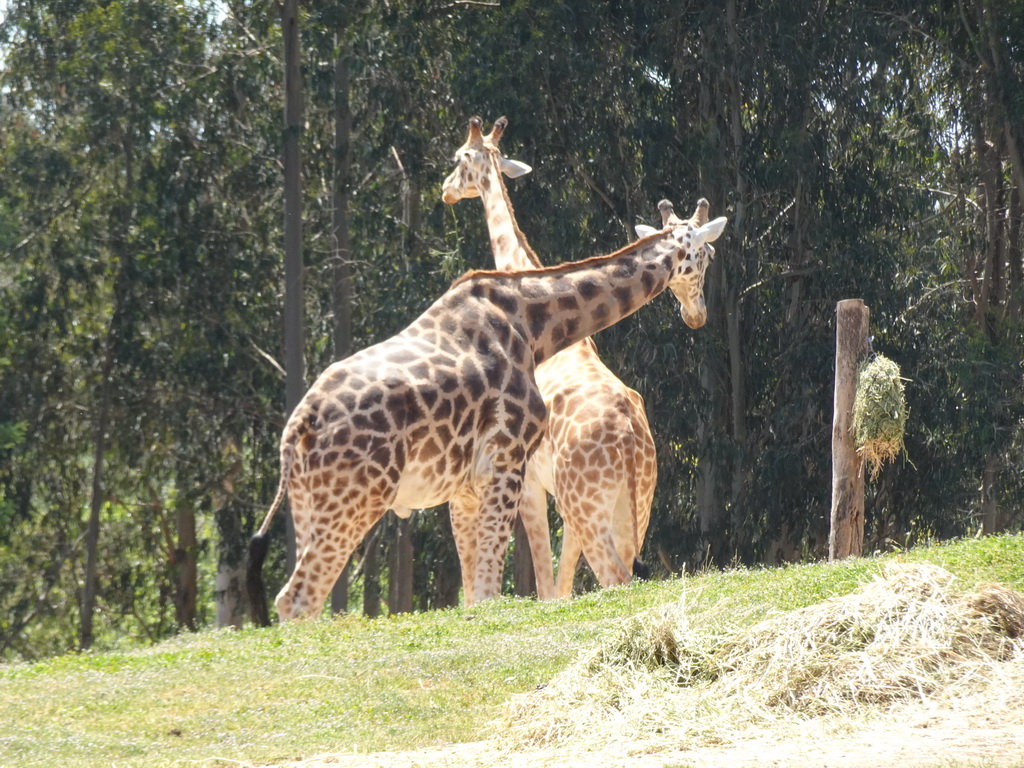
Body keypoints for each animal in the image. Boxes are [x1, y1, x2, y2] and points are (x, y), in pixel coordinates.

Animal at [246, 192, 729, 626]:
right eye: (707, 254)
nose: (698, 314)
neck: (534, 328)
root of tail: (300, 424)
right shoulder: (507, 462)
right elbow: (489, 590)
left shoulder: (474, 481)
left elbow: (481, 591)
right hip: (356, 500)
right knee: (299, 598)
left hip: (309, 506)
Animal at [442, 117, 667, 602]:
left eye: (459, 158)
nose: (446, 190)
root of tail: (630, 442)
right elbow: (562, 585)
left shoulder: (528, 481)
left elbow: (545, 583)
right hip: (633, 505)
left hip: (587, 503)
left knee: (613, 577)